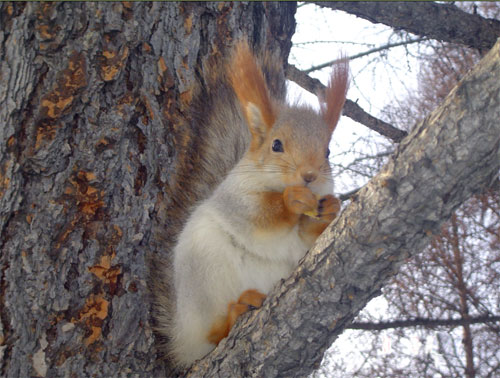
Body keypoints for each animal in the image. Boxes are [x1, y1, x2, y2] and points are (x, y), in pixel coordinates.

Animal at [154, 41, 350, 370]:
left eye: (327, 151)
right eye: (276, 145)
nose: (309, 175)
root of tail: (181, 340)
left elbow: (306, 239)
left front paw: (330, 209)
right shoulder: (236, 199)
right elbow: (260, 218)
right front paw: (291, 201)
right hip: (205, 280)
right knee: (210, 335)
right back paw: (234, 314)